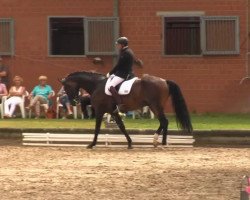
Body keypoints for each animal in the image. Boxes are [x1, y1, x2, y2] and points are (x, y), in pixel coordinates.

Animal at [61, 71, 193, 148]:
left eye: (66, 87)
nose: (73, 102)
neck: (96, 85)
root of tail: (164, 80)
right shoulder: (112, 111)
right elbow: (121, 126)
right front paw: (129, 143)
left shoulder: (100, 110)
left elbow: (97, 128)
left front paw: (92, 144)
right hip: (155, 106)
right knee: (164, 122)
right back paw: (161, 142)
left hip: (155, 106)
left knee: (164, 121)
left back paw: (158, 141)